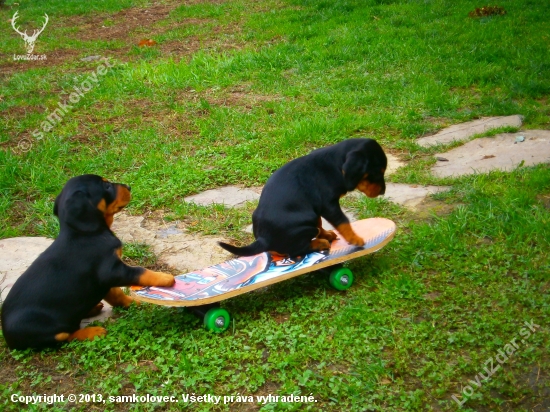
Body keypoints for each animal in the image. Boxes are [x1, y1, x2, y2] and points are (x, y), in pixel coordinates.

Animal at [1, 175, 175, 350]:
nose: (128, 187)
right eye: (106, 186)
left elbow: (116, 294)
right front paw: (165, 278)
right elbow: (140, 271)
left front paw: (133, 303)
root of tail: (9, 340)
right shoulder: (112, 270)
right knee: (66, 336)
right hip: (46, 330)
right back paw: (93, 331)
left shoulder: (103, 281)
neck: (85, 232)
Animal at [220, 140, 388, 260]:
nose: (383, 191)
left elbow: (321, 222)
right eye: (377, 173)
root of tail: (264, 239)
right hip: (306, 224)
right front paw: (355, 239)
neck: (336, 165)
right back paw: (319, 243)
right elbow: (343, 221)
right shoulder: (329, 205)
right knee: (296, 251)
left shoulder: (317, 207)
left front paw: (327, 234)